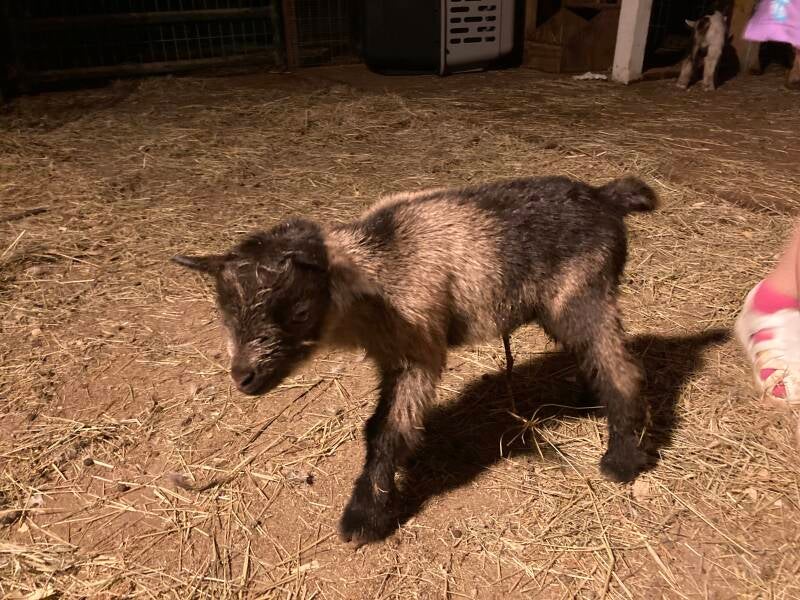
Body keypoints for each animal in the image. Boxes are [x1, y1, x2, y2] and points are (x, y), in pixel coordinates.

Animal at [173, 175, 658, 545]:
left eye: (298, 312)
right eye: (224, 313)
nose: (244, 377)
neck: (377, 267)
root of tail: (605, 195)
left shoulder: (418, 352)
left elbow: (387, 431)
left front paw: (363, 518)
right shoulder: (390, 355)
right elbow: (381, 426)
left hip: (583, 294)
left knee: (622, 367)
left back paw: (621, 459)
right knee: (593, 354)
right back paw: (589, 402)